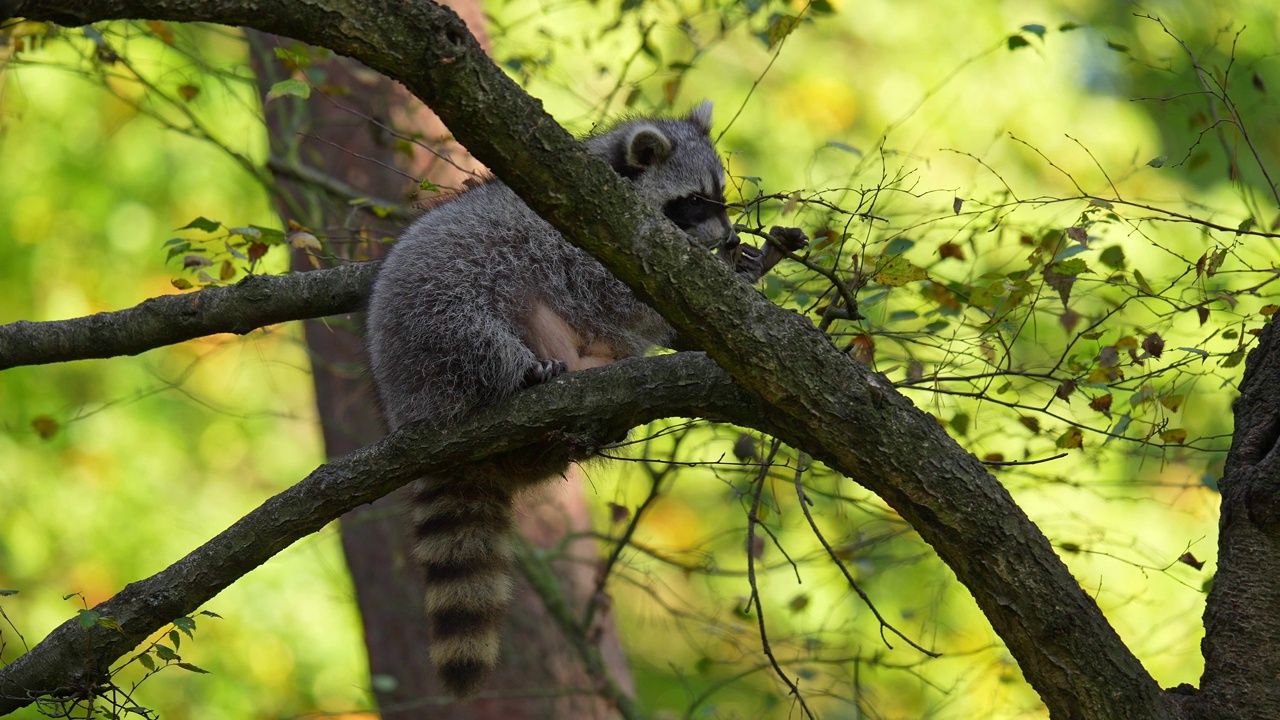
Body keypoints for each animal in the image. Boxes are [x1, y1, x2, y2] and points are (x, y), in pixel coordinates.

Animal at [366, 101, 773, 696]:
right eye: (694, 201)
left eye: (720, 196)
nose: (726, 240)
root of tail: (405, 404)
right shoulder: (576, 245)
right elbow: (619, 294)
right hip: (439, 321)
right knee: (492, 316)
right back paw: (535, 372)